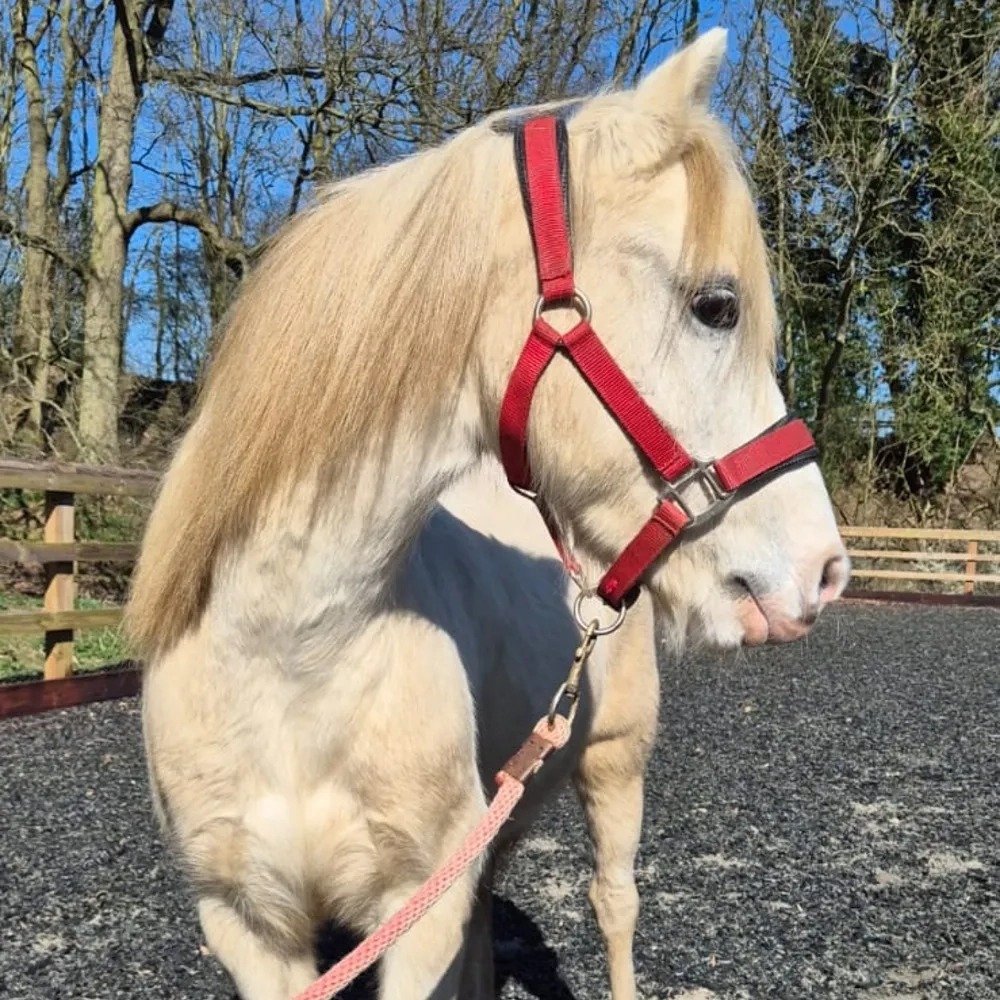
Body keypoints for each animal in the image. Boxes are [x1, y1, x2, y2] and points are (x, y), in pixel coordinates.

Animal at [126, 28, 849, 1000]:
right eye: (716, 306)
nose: (824, 570)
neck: (288, 656)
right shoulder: (249, 925)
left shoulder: (415, 912)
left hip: (614, 761)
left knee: (613, 901)